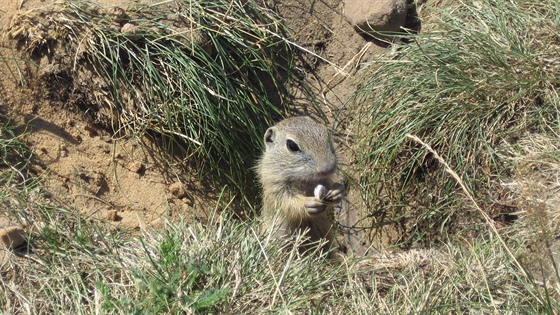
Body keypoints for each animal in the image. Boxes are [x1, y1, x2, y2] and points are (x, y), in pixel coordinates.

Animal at [260, 116, 346, 256]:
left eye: (327, 134)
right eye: (292, 145)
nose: (328, 168)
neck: (304, 179)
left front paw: (337, 192)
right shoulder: (275, 186)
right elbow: (287, 202)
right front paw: (308, 204)